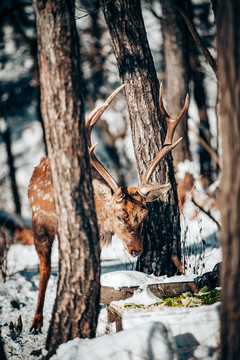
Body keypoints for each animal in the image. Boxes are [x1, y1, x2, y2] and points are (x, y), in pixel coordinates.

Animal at [28, 82, 188, 332]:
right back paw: (36, 321)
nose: (137, 250)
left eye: (145, 214)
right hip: (39, 222)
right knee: (44, 267)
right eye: (120, 215)